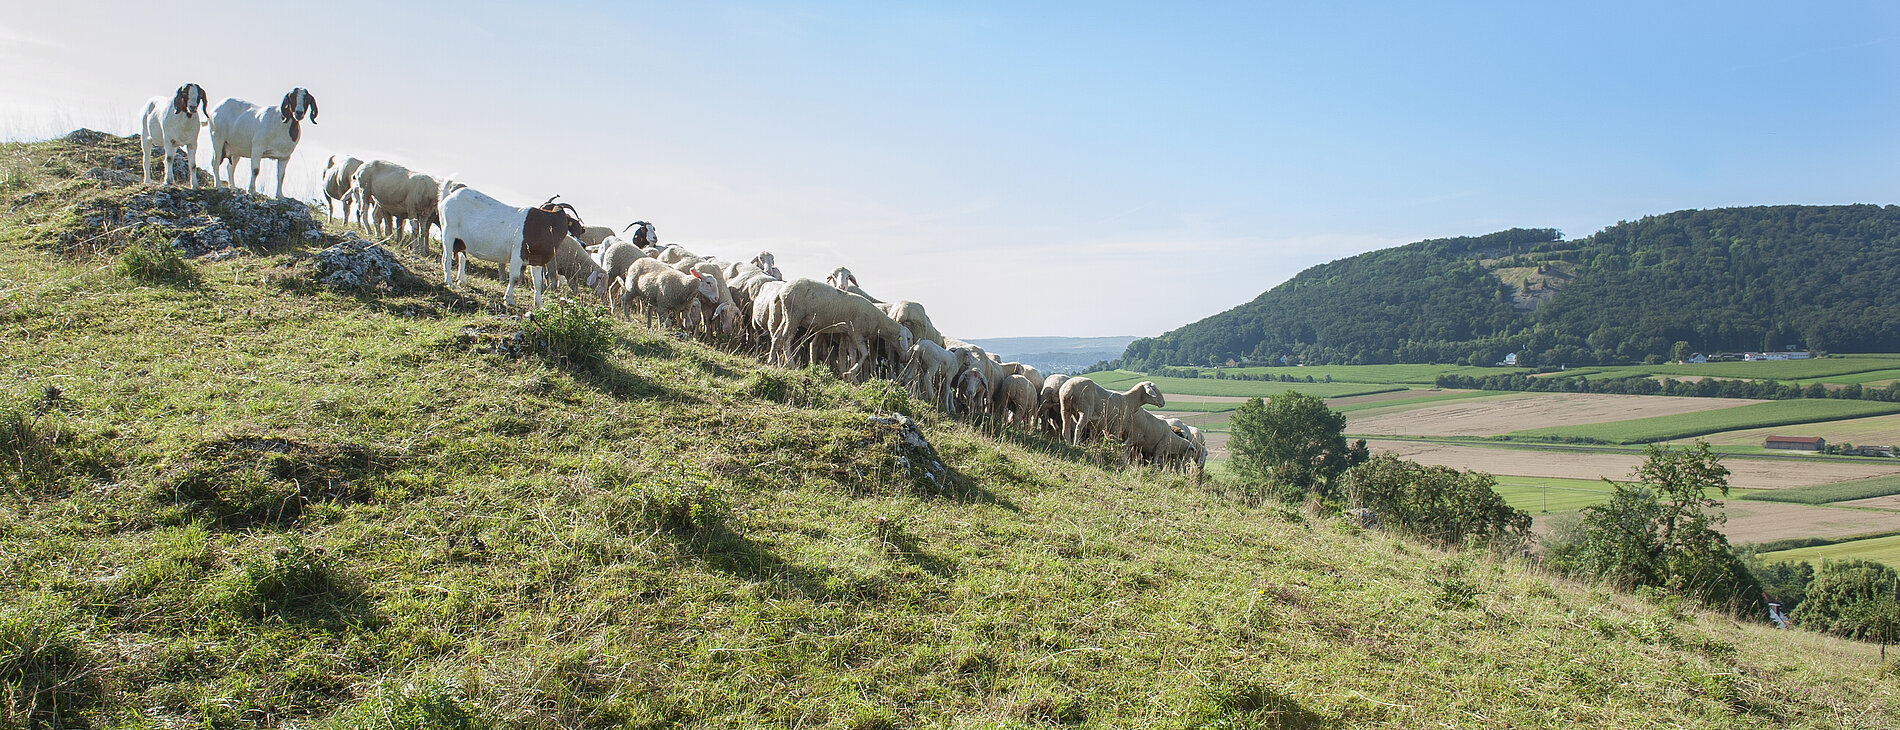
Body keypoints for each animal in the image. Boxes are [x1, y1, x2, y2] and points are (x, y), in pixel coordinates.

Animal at [437, 182, 585, 311]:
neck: (548, 225)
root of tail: (447, 198)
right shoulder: (518, 254)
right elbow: (514, 277)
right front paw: (509, 299)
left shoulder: (537, 260)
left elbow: (537, 281)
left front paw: (539, 304)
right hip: (448, 233)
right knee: (446, 259)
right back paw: (449, 282)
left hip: (461, 241)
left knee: (462, 258)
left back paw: (461, 281)